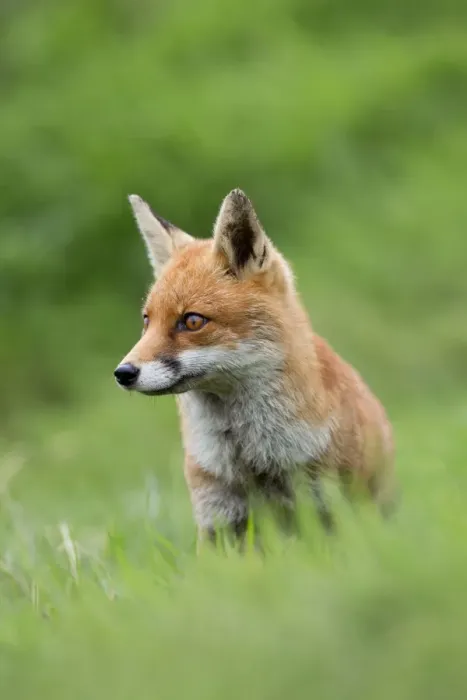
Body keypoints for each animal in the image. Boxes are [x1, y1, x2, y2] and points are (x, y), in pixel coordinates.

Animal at [114, 188, 395, 547]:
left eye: (192, 321)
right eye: (147, 321)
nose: (123, 373)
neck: (252, 458)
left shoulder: (329, 510)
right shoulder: (217, 520)